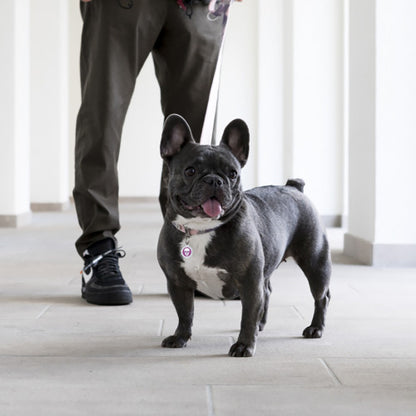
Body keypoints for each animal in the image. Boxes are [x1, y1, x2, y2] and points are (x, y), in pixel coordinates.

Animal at [158, 114, 334, 358]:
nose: (214, 180)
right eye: (190, 171)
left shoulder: (249, 283)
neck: (201, 229)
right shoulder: (178, 283)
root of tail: (294, 187)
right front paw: (181, 337)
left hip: (315, 262)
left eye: (233, 174)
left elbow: (247, 317)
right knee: (267, 292)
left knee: (321, 296)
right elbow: (185, 313)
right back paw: (263, 325)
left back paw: (315, 328)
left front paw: (244, 345)